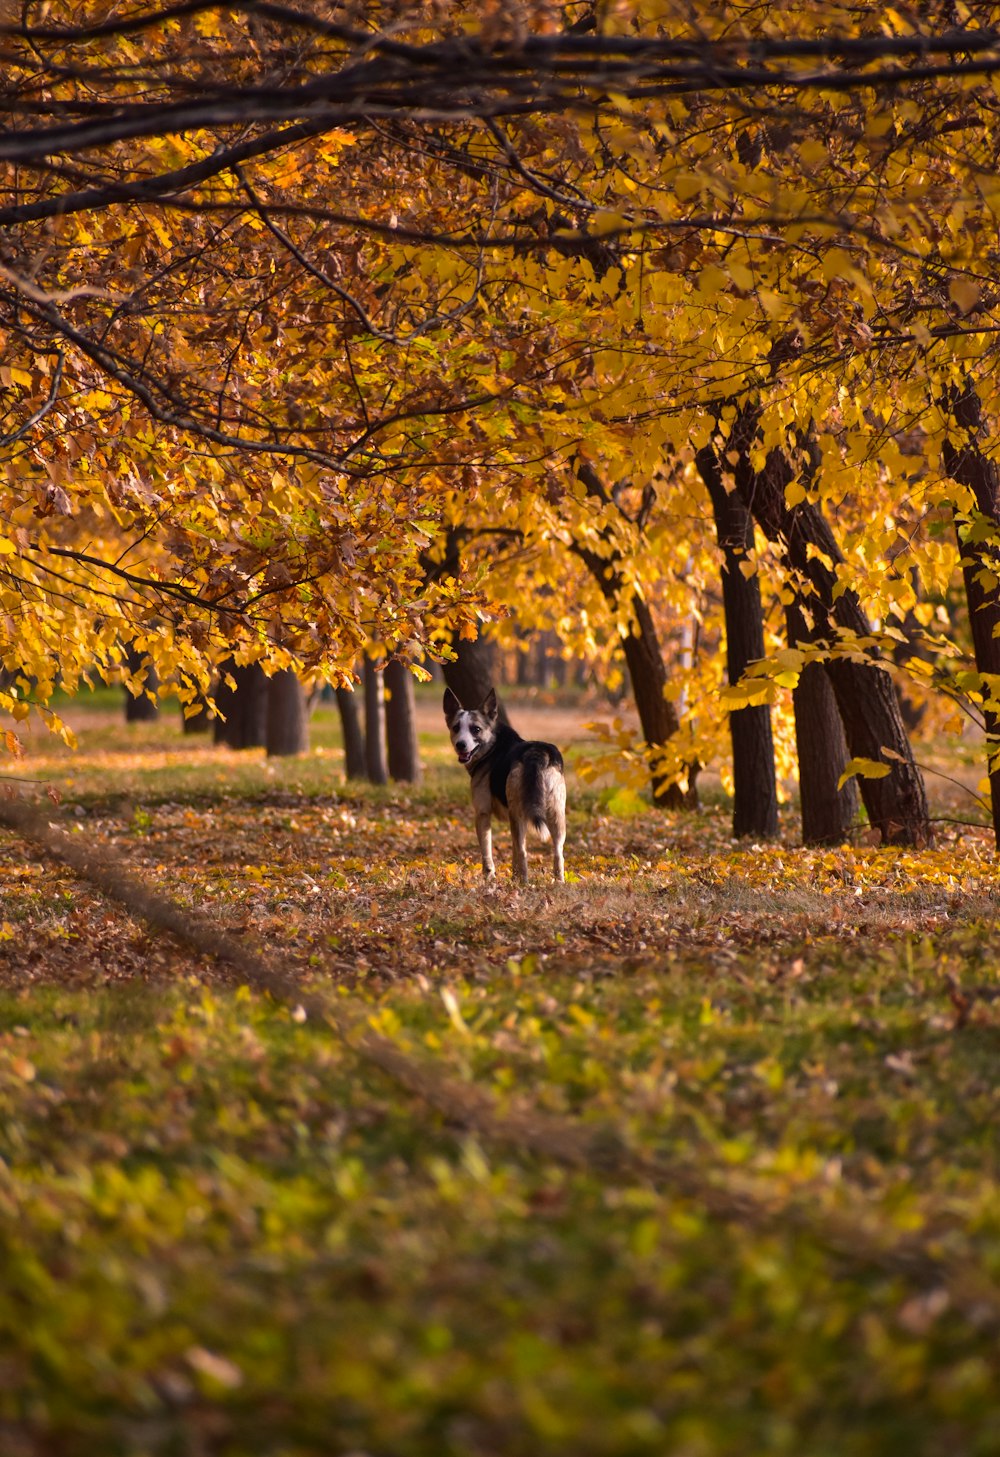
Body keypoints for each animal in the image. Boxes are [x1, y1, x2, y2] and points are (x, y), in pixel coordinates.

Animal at [446, 687, 568, 880]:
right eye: (456, 728)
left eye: (476, 729)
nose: (461, 745)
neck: (493, 746)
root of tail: (536, 752)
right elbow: (513, 852)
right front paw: (513, 874)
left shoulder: (482, 813)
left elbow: (486, 851)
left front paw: (489, 877)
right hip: (556, 813)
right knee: (557, 853)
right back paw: (557, 882)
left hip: (517, 814)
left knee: (523, 852)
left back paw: (523, 883)